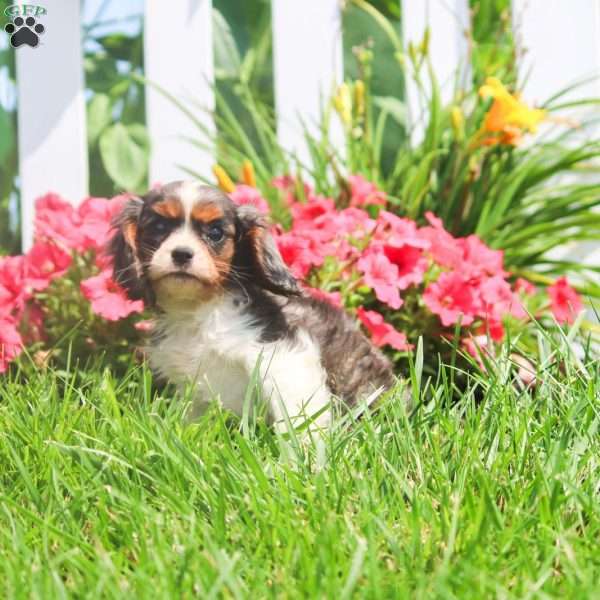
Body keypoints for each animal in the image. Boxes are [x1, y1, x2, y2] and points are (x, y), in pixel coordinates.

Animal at [110, 180, 396, 428]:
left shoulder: (284, 357)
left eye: (215, 233)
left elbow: (297, 421)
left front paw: (302, 455)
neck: (201, 309)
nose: (181, 253)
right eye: (159, 228)